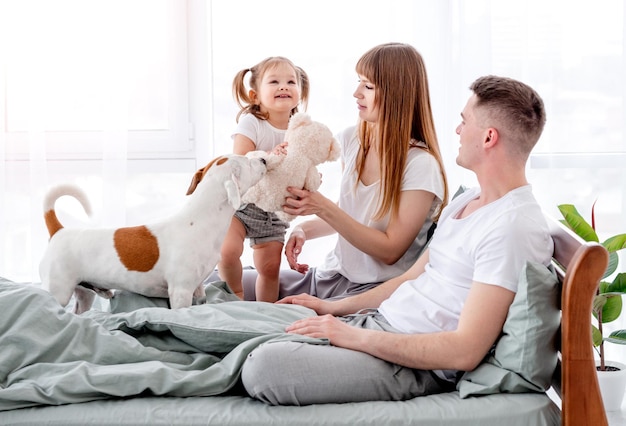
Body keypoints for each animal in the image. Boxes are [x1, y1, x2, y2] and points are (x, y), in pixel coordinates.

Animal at [37, 154, 266, 312]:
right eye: (247, 161)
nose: (263, 159)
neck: (200, 220)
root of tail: (59, 231)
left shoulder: (198, 288)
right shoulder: (180, 291)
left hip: (84, 294)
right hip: (59, 291)